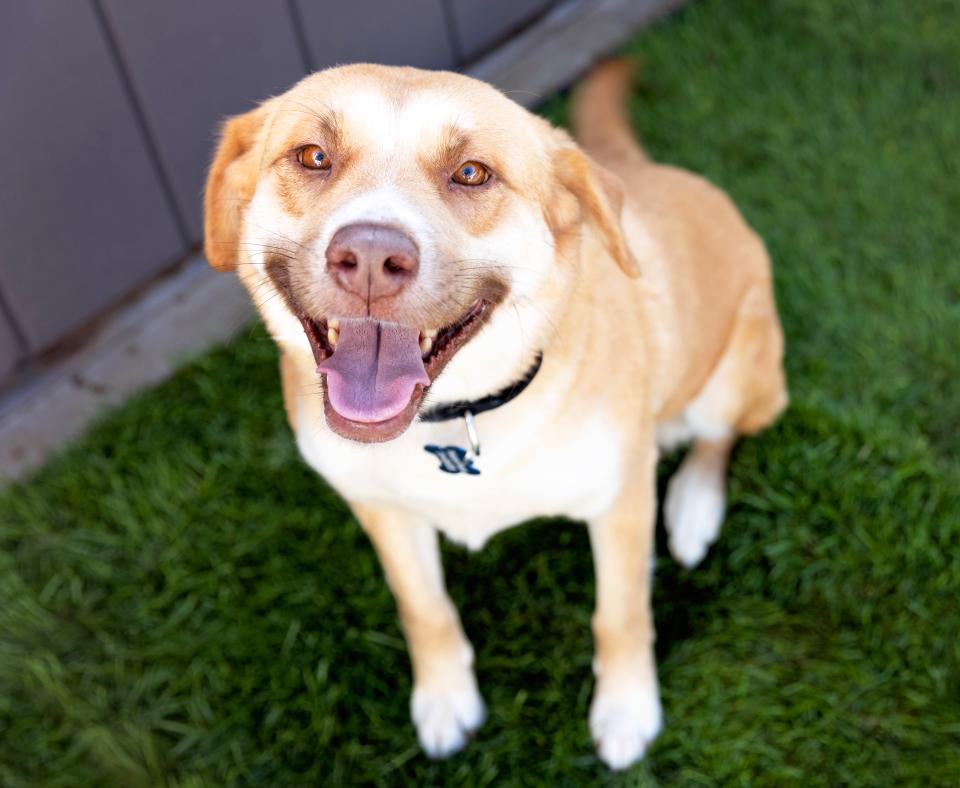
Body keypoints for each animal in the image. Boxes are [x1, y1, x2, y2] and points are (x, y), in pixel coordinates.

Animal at [202, 57, 788, 768]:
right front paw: (445, 699)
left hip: (735, 378)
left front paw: (626, 709)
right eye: (313, 156)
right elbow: (424, 608)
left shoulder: (618, 502)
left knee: (715, 440)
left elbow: (620, 617)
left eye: (471, 172)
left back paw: (692, 507)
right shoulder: (380, 509)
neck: (457, 415)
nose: (368, 259)